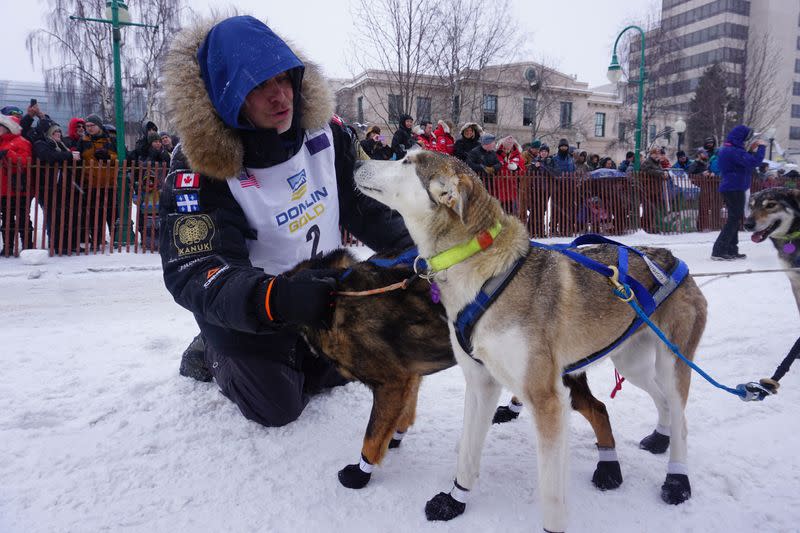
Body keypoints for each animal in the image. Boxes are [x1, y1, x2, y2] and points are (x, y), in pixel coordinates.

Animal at [288, 249, 624, 490]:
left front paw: (360, 473)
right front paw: (394, 436)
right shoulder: (409, 378)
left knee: (598, 410)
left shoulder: (391, 381)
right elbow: (400, 418)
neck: (334, 300)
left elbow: (371, 437)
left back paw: (609, 469)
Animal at [354, 151, 708, 532]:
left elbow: (551, 494)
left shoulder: (546, 399)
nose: (356, 160)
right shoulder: (481, 384)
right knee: (664, 401)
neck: (485, 276)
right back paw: (660, 436)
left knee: (682, 418)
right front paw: (454, 500)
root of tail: (672, 259)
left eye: (407, 160)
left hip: (672, 363)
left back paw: (677, 479)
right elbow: (468, 453)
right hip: (631, 362)